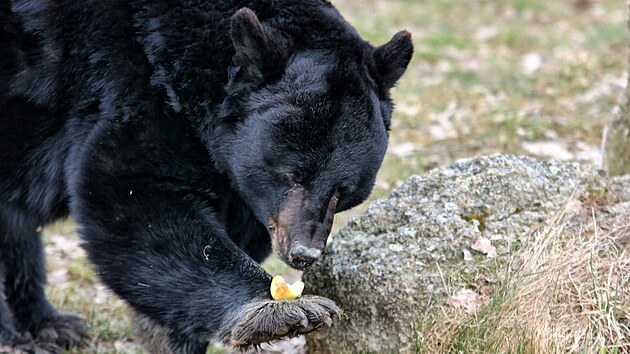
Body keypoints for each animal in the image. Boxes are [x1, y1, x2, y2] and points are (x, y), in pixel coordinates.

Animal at [0, 0, 412, 352]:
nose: (303, 253)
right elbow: (134, 195)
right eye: (293, 175)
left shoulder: (234, 177)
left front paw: (167, 334)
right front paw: (280, 312)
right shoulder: (126, 87)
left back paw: (46, 323)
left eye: (344, 191)